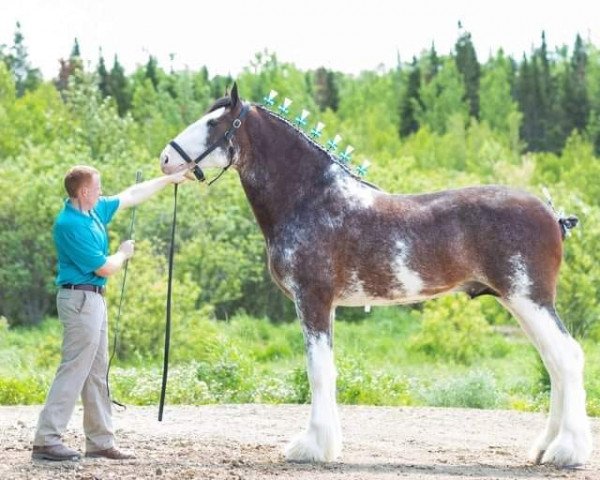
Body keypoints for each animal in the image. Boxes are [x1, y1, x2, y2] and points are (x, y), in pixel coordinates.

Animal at [157, 83, 592, 468]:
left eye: (213, 123)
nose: (164, 158)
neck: (311, 198)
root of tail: (552, 214)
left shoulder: (312, 299)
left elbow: (318, 371)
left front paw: (311, 447)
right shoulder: (324, 305)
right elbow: (326, 370)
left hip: (529, 300)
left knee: (567, 358)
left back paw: (567, 451)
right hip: (521, 303)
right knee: (555, 364)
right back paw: (545, 448)